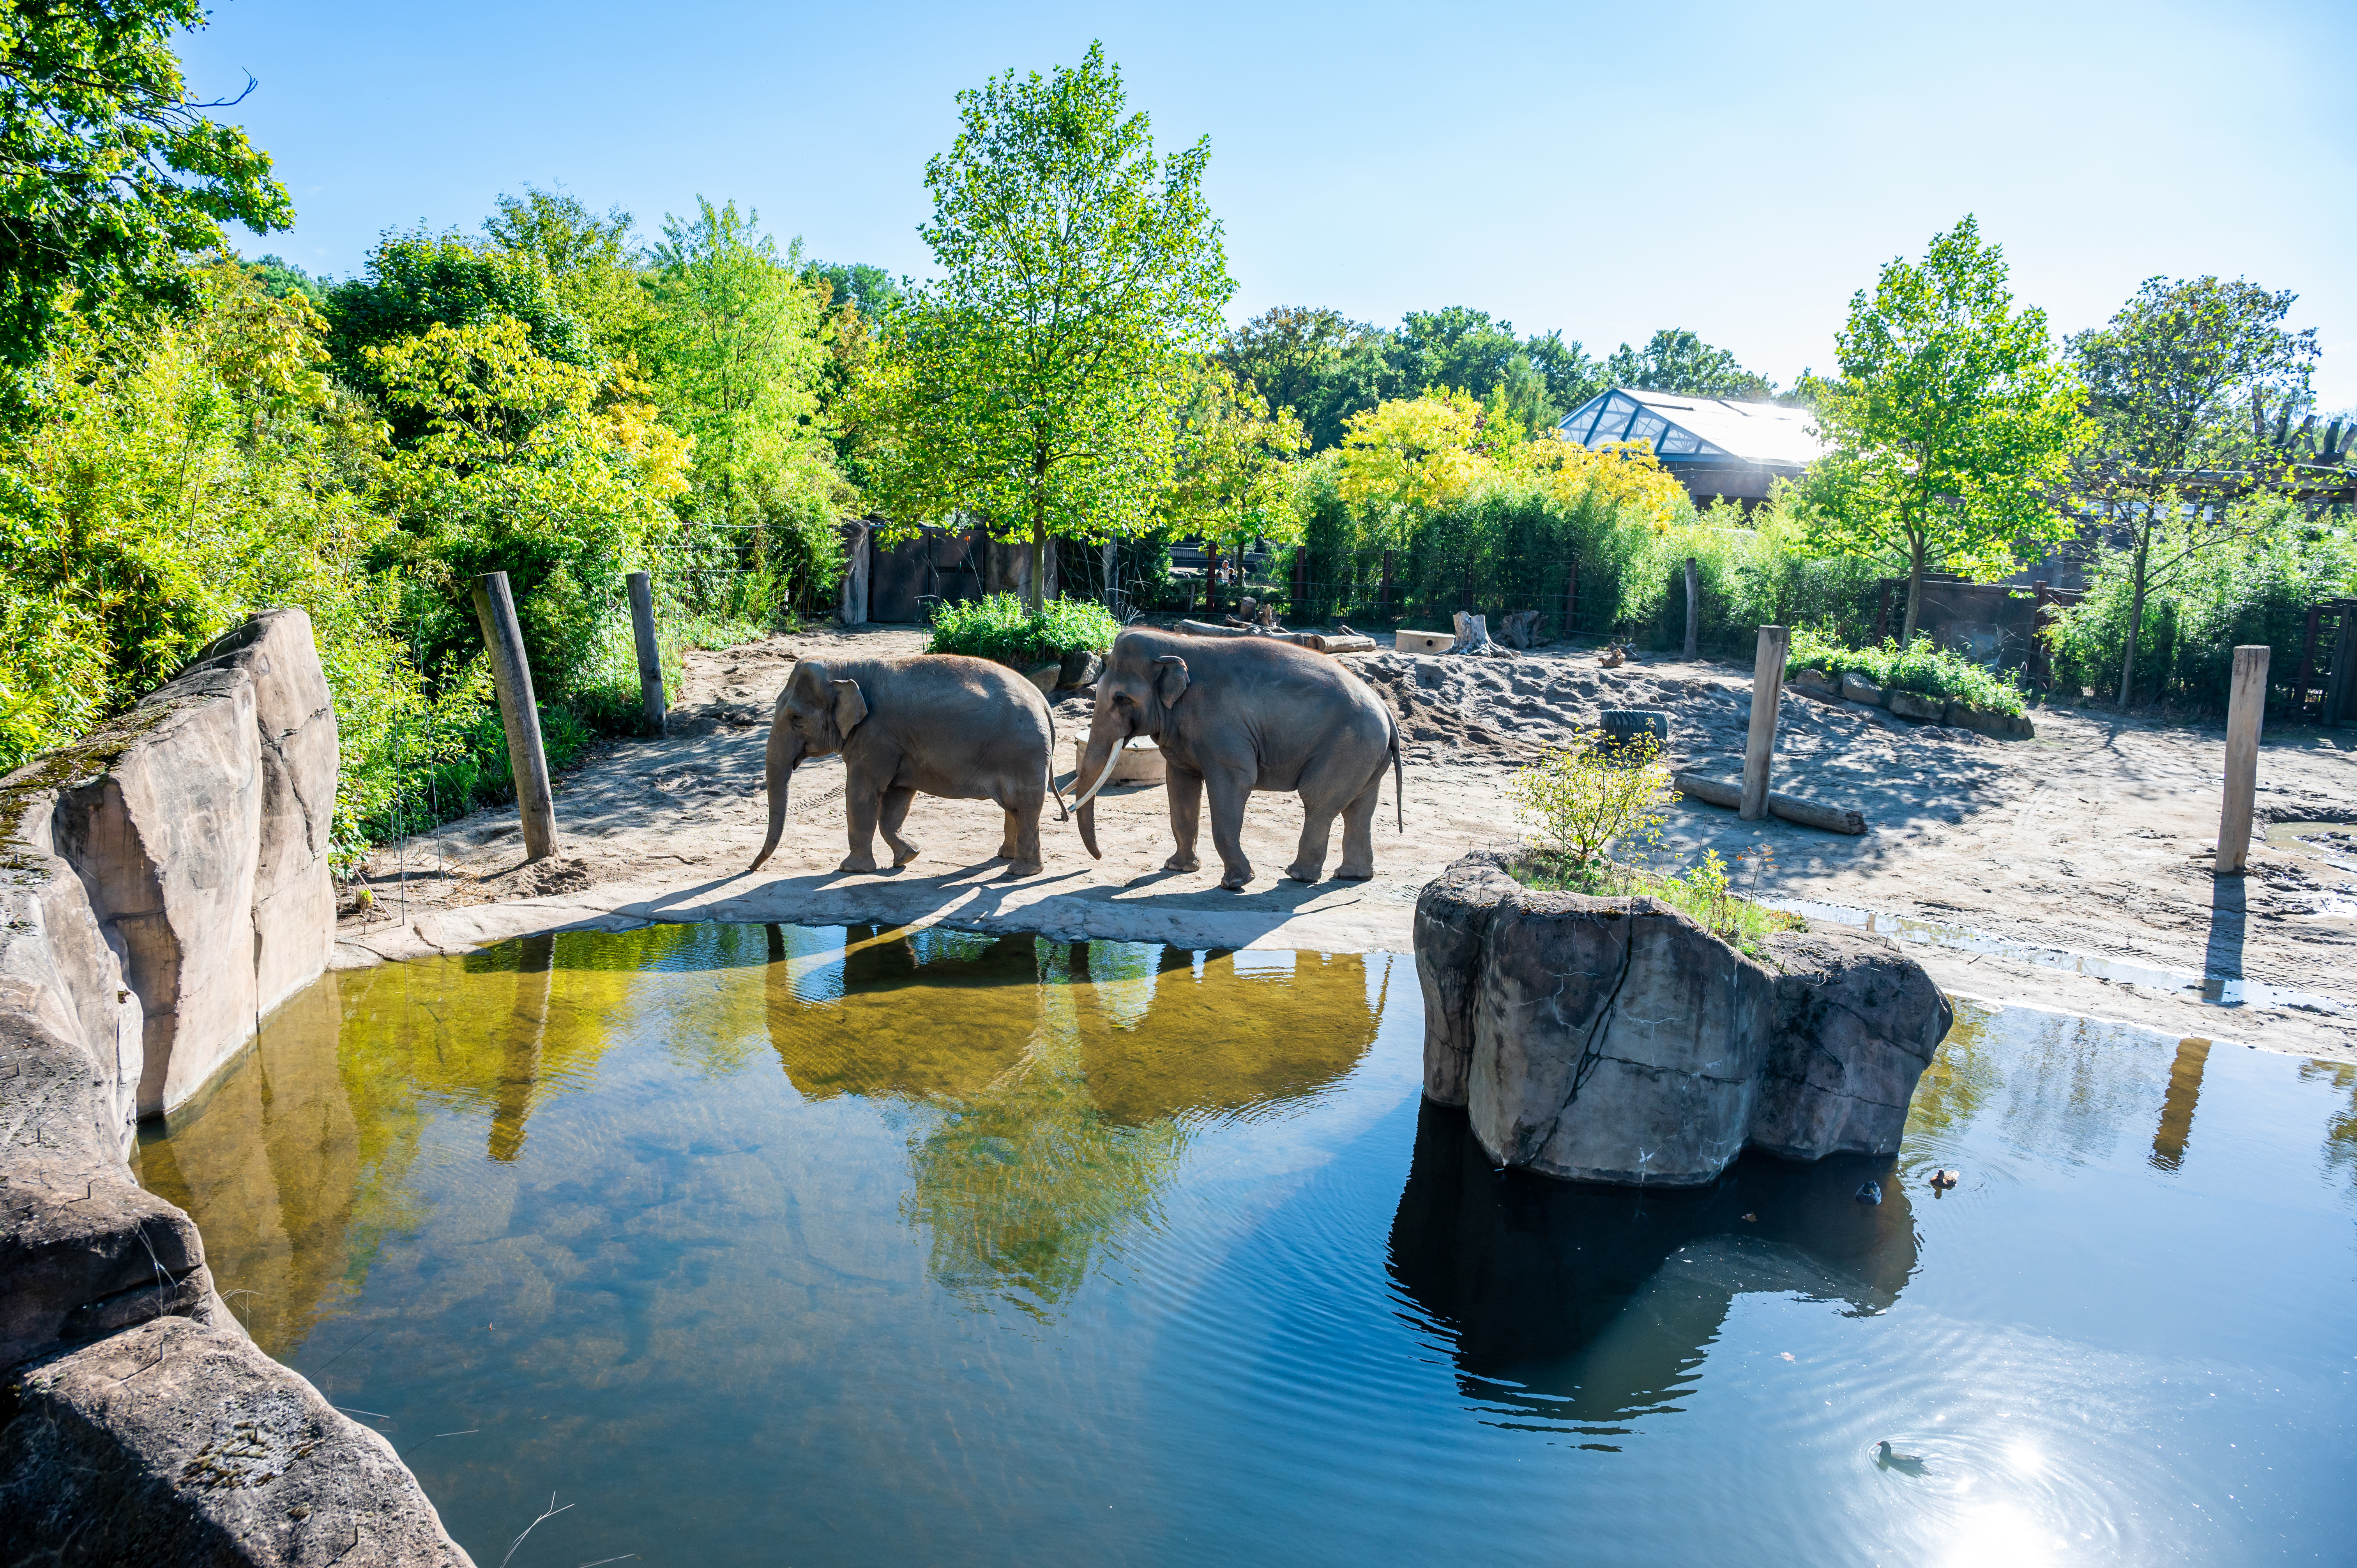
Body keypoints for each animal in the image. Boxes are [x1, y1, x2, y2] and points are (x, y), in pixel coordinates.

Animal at [749, 655, 1056, 882]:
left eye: (796, 718)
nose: (750, 869)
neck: (846, 666)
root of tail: (1043, 701)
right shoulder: (898, 746)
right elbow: (897, 797)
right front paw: (908, 856)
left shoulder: (876, 736)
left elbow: (861, 793)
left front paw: (851, 870)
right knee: (1014, 807)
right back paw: (1006, 857)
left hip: (1023, 754)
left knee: (1025, 806)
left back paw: (1021, 871)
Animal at [1070, 627, 1395, 891]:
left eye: (1121, 698)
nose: (1099, 857)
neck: (1176, 644)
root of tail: (1385, 708)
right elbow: (1181, 788)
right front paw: (1178, 868)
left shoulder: (1223, 733)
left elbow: (1233, 786)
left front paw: (1236, 883)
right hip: (1366, 755)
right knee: (1360, 808)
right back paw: (1352, 876)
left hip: (1346, 748)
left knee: (1319, 803)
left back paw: (1297, 876)